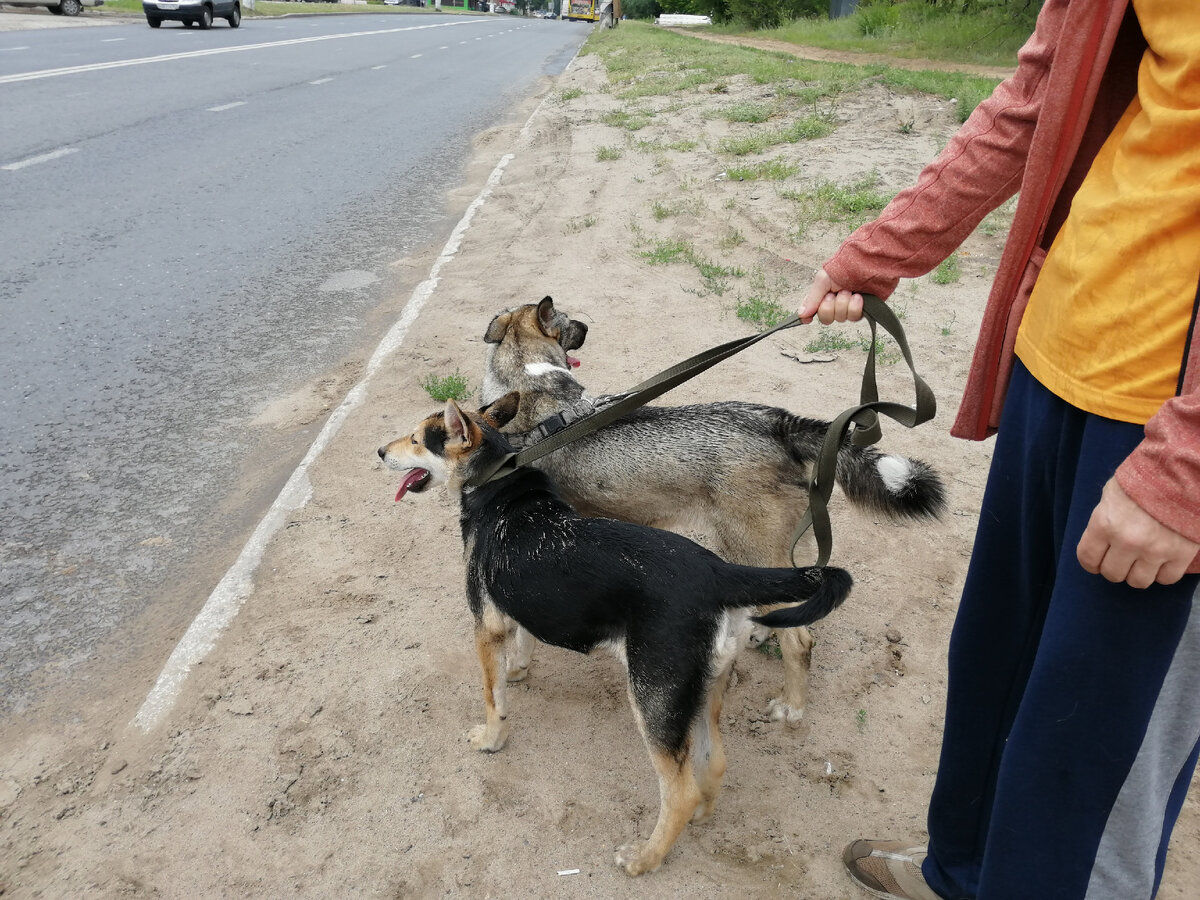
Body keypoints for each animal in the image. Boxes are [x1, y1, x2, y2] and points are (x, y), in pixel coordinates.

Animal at [376, 393, 854, 873]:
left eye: (416, 439)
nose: (380, 451)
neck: (499, 481)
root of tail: (720, 574)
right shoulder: (519, 602)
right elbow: (523, 643)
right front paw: (519, 669)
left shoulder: (485, 627)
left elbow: (494, 701)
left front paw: (491, 740)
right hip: (698, 693)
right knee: (713, 764)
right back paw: (700, 814)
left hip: (653, 700)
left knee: (679, 791)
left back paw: (645, 857)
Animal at [480, 300, 945, 729]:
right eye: (567, 322)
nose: (586, 326)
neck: (535, 389)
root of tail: (778, 425)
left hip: (746, 544)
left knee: (800, 642)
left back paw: (792, 707)